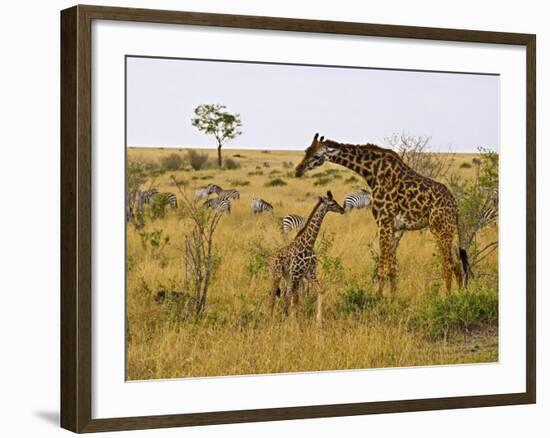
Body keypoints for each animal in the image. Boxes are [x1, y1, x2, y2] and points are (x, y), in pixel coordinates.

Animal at [268, 191, 344, 326]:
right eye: (332, 203)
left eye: (335, 202)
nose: (342, 209)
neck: (308, 244)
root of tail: (269, 260)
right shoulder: (297, 274)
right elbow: (295, 299)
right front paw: (295, 324)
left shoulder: (309, 273)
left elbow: (320, 290)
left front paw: (318, 322)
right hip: (276, 274)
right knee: (273, 296)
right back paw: (270, 320)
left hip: (287, 275)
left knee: (285, 295)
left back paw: (283, 316)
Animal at [296, 133, 472, 298]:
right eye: (306, 150)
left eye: (317, 156)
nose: (298, 170)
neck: (372, 172)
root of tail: (456, 207)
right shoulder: (393, 226)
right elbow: (393, 267)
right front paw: (393, 297)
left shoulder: (383, 221)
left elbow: (381, 265)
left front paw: (378, 296)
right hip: (449, 230)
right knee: (457, 265)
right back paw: (459, 295)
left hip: (439, 229)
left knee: (448, 265)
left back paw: (447, 298)